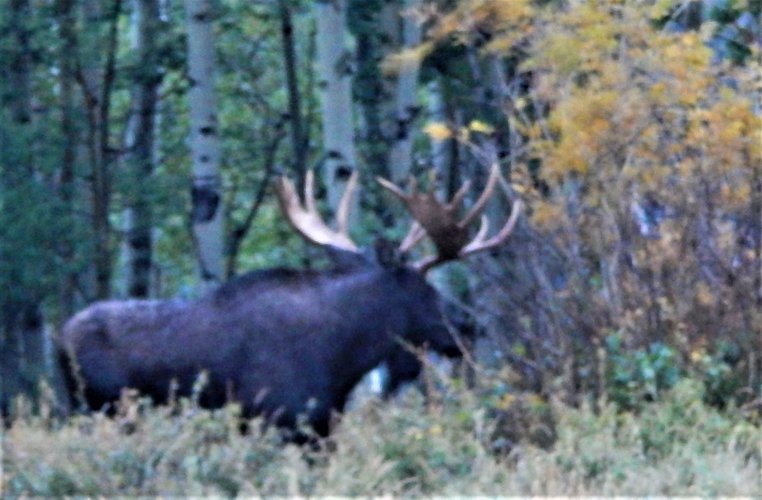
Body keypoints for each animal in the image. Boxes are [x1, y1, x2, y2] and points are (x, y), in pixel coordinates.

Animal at [59, 165, 520, 438]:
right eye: (427, 290)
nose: (470, 325)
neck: (344, 358)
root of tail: (58, 339)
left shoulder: (322, 426)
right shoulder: (278, 420)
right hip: (102, 411)